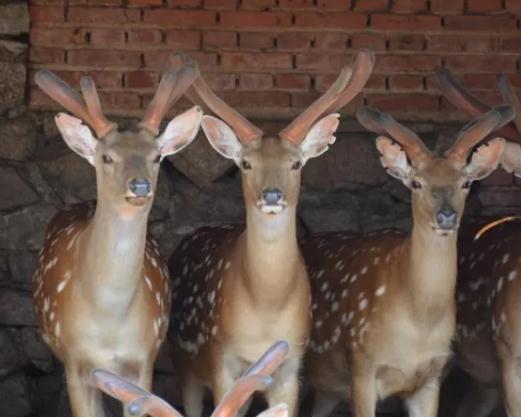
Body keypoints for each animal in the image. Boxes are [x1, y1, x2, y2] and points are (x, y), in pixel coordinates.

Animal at [31, 65, 201, 416]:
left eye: (158, 156)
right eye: (107, 157)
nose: (140, 186)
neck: (109, 319)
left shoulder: (143, 357)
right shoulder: (75, 359)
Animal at [167, 49, 374, 416]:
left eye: (296, 163)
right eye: (246, 164)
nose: (272, 195)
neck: (265, 308)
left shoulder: (291, 362)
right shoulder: (222, 357)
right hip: (184, 361)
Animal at [300, 105, 512, 416]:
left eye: (466, 183)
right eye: (416, 182)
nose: (446, 216)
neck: (418, 326)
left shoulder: (433, 374)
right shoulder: (362, 364)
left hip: (326, 387)